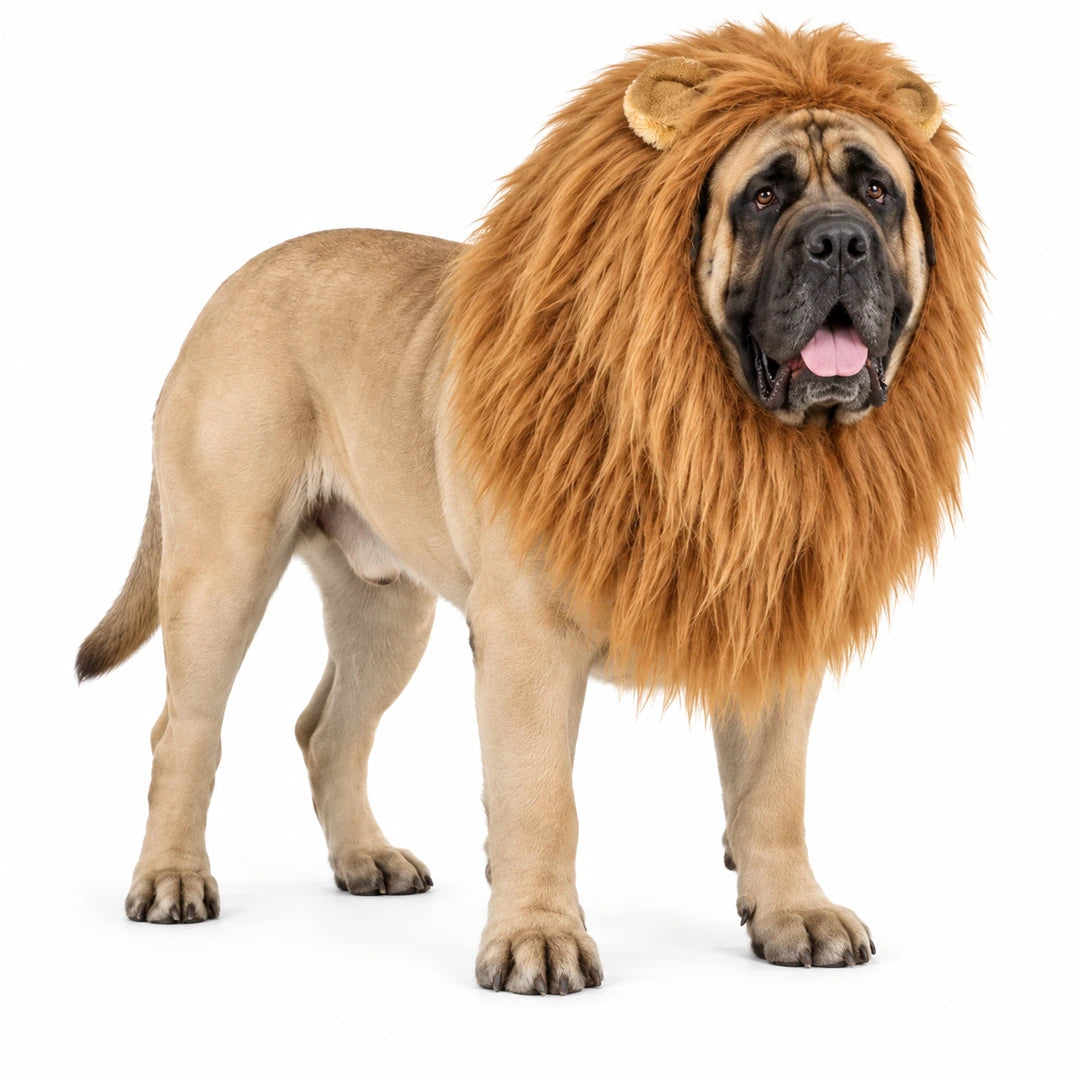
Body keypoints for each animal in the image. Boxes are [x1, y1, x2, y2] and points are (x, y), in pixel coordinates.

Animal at [76, 23, 984, 993]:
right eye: (764, 194)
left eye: (878, 191)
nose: (839, 242)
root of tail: (229, 286)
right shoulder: (527, 644)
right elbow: (541, 799)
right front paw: (537, 935)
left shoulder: (773, 638)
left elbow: (773, 794)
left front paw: (792, 911)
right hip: (224, 568)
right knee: (185, 731)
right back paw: (172, 876)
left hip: (386, 611)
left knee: (328, 730)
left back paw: (367, 858)